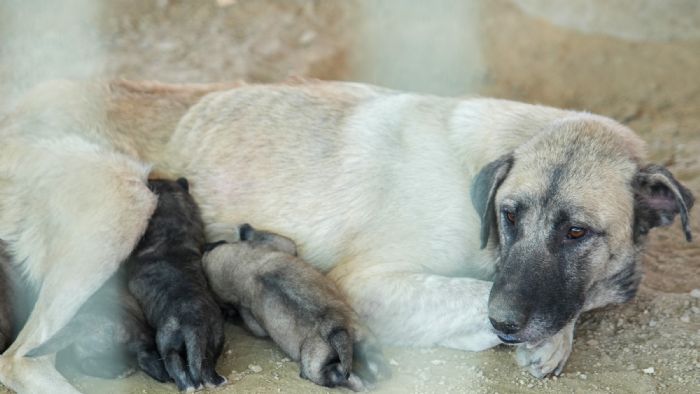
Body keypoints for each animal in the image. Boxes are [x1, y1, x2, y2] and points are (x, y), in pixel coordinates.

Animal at [27, 270, 171, 382]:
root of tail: (87, 319)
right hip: (134, 331)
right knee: (144, 351)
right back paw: (158, 373)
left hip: (85, 349)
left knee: (85, 363)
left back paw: (119, 371)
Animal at [124, 179, 224, 390]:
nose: (151, 179)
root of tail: (194, 324)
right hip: (215, 337)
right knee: (206, 364)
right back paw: (216, 381)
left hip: (167, 342)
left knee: (175, 365)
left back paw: (188, 387)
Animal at [202, 225, 392, 390]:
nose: (206, 246)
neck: (245, 266)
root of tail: (335, 329)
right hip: (362, 338)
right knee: (370, 364)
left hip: (315, 366)